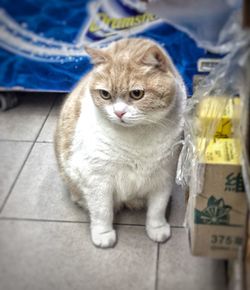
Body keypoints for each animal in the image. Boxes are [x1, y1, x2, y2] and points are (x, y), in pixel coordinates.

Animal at [54, 37, 186, 248]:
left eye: (137, 94)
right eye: (105, 94)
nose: (119, 113)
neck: (136, 137)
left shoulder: (164, 176)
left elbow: (157, 208)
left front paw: (156, 228)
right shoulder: (97, 180)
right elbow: (102, 211)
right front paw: (103, 233)